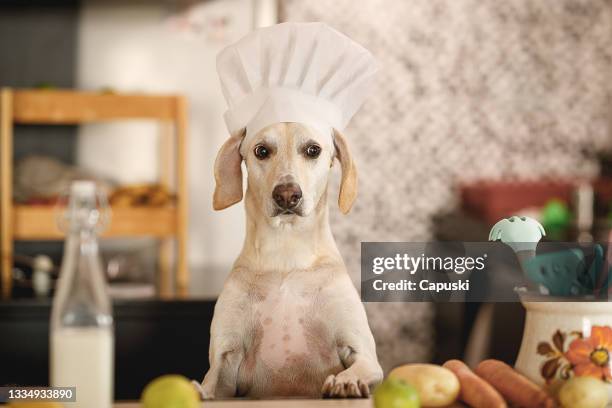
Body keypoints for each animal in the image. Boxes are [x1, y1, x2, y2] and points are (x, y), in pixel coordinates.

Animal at [200, 122, 382, 398]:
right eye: (261, 150)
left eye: (313, 150)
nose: (287, 195)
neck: (287, 254)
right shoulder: (226, 356)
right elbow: (211, 383)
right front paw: (198, 391)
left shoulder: (362, 351)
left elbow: (361, 366)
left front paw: (345, 382)